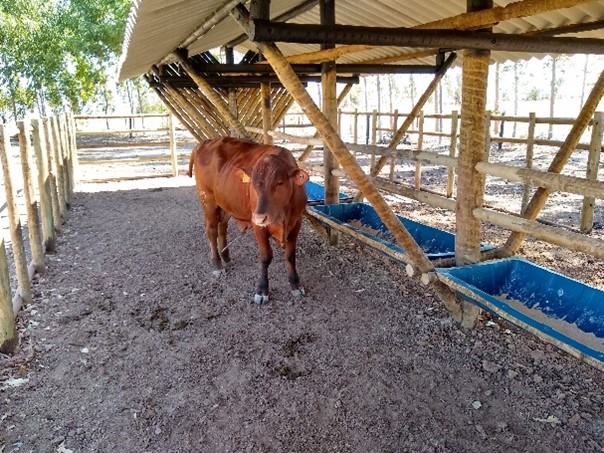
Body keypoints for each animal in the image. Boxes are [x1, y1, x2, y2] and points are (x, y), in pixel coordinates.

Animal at [189, 136, 310, 302]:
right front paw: (262, 290)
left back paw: (226, 256)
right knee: (212, 230)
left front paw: (295, 284)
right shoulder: (258, 226)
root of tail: (204, 143)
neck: (282, 216)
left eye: (279, 182)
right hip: (208, 201)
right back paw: (217, 265)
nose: (260, 216)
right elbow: (266, 257)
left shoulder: (297, 222)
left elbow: (290, 256)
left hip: (224, 203)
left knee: (222, 227)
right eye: (254, 184)